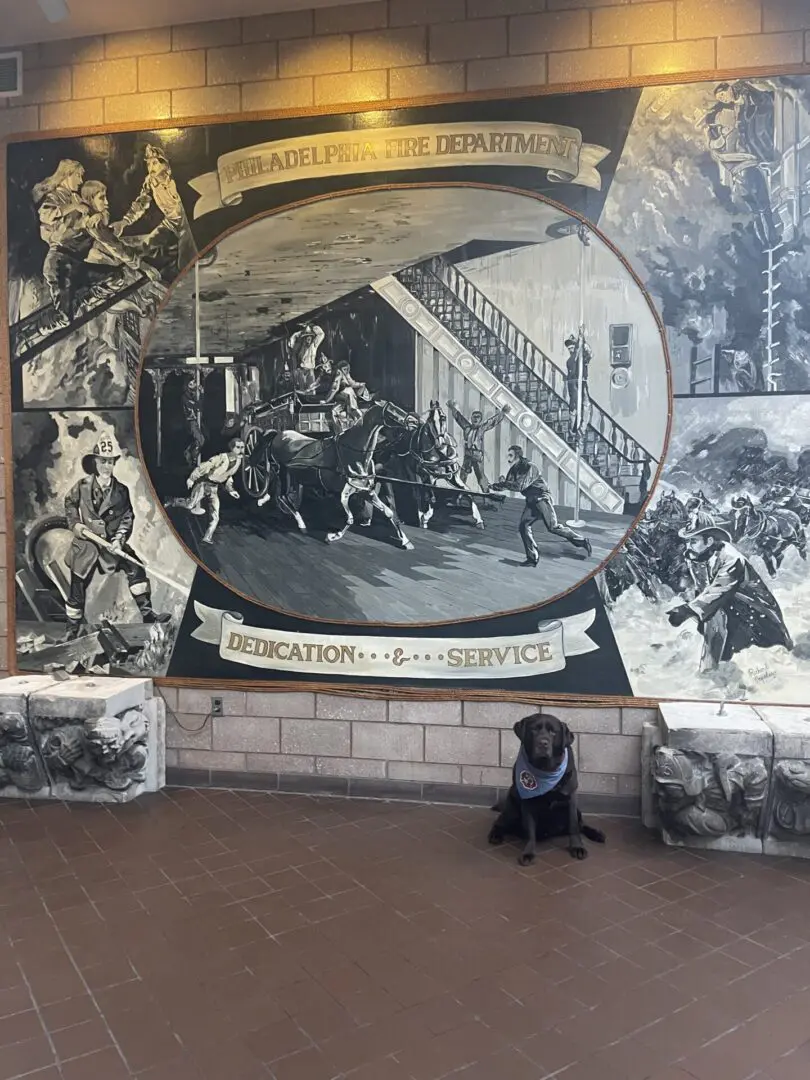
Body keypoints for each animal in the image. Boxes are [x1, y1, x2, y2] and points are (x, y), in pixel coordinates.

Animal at [488, 712, 604, 864]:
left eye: (553, 732)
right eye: (534, 730)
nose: (543, 743)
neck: (546, 769)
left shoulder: (571, 799)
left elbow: (573, 826)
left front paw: (577, 847)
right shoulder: (528, 803)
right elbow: (530, 831)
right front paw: (528, 852)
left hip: (577, 811)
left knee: (581, 825)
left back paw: (596, 834)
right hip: (511, 809)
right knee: (499, 822)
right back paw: (495, 835)